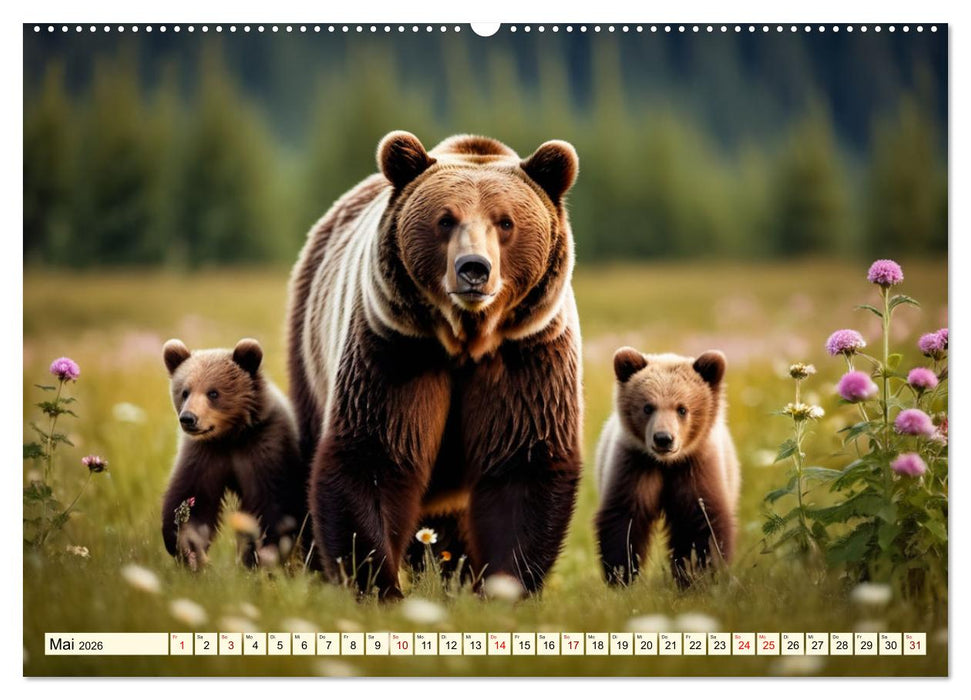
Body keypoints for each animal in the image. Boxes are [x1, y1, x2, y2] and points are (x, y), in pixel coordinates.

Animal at [160, 338, 310, 570]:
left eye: (213, 393)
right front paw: (190, 551)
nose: (188, 418)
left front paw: (257, 557)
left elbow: (270, 506)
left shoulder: (264, 449)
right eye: (184, 391)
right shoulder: (204, 454)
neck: (230, 436)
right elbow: (192, 500)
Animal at [286, 131, 583, 599]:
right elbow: (374, 456)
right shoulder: (394, 351)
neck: (465, 340)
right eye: (445, 220)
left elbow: (522, 465)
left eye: (505, 222)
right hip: (309, 346)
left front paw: (501, 586)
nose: (473, 268)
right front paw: (378, 585)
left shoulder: (527, 356)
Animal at [594, 347, 740, 588]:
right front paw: (622, 577)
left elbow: (703, 523)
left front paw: (702, 575)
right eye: (647, 407)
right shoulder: (635, 467)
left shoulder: (695, 468)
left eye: (682, 408)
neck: (666, 464)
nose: (663, 438)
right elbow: (624, 520)